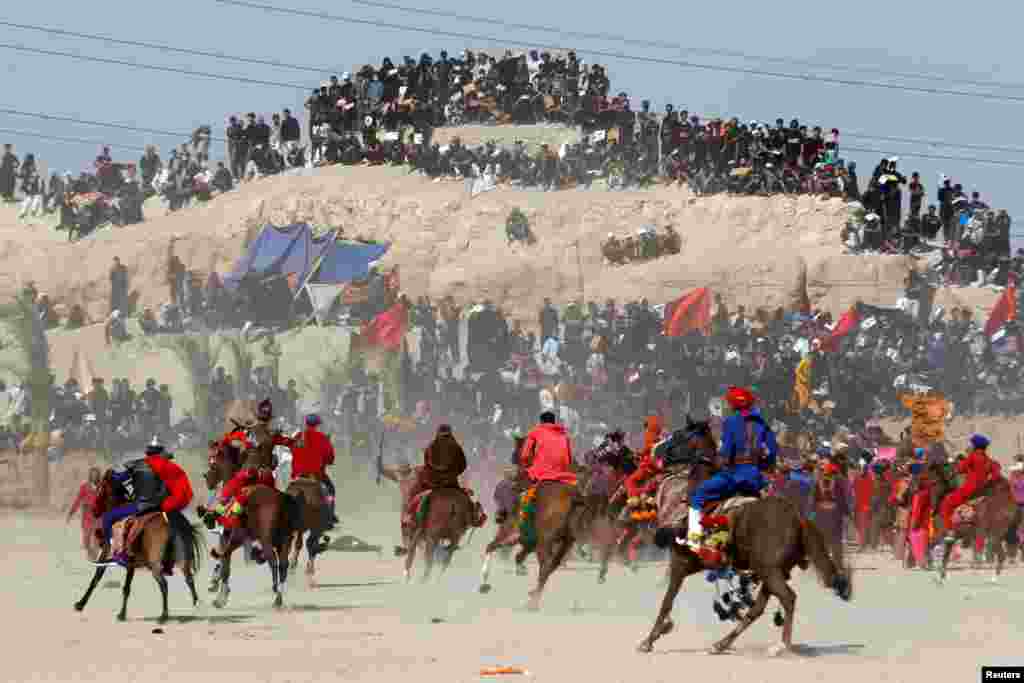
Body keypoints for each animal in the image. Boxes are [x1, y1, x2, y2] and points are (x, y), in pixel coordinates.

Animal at [73, 471, 201, 626]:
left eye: (100, 489)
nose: (94, 511)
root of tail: (169, 522)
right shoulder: (131, 564)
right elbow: (126, 588)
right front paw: (122, 614)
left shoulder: (105, 556)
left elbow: (96, 579)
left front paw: (80, 604)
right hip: (182, 560)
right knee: (189, 579)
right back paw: (195, 607)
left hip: (154, 565)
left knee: (164, 584)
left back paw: (163, 616)